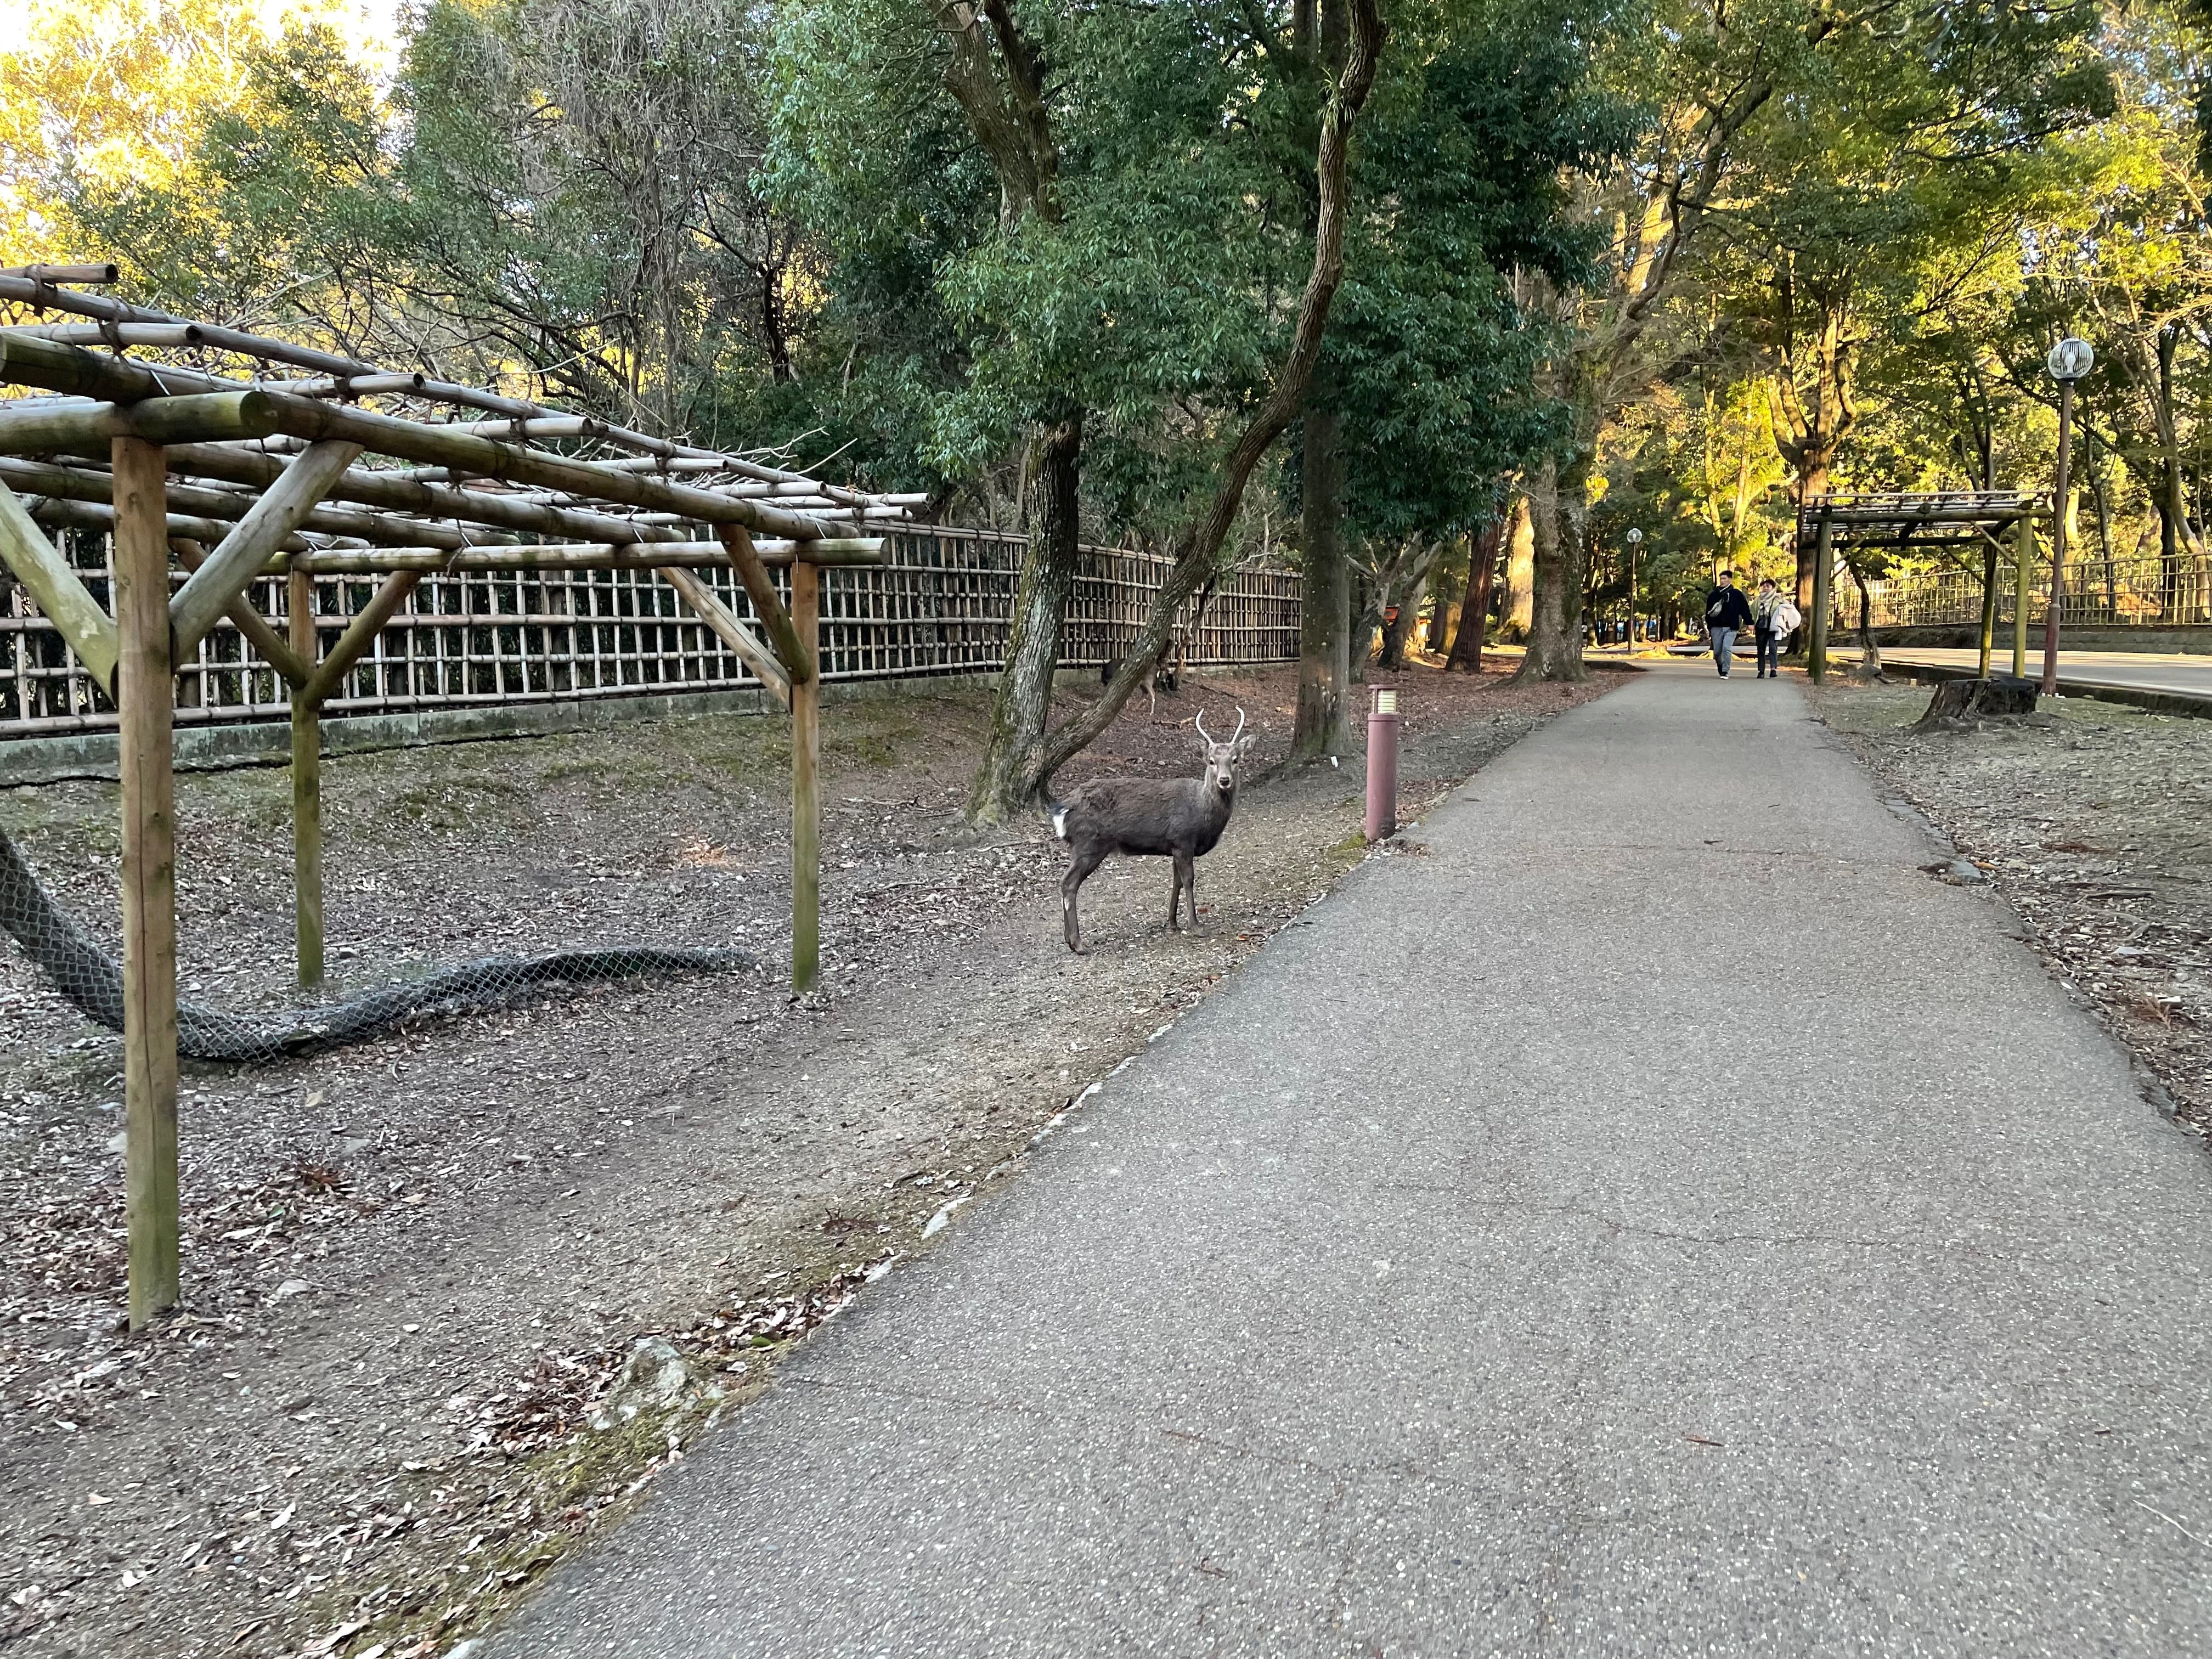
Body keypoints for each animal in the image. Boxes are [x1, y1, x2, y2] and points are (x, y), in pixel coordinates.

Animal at [1050, 709, 1254, 954]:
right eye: (1211, 761)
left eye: (1236, 760)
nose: (1224, 780)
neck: (1202, 810)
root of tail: (1061, 809)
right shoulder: (1184, 838)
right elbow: (1189, 880)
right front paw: (1196, 927)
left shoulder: (1174, 845)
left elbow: (1176, 881)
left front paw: (1173, 923)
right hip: (1089, 843)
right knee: (1069, 883)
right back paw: (1078, 943)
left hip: (1084, 846)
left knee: (1065, 883)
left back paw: (1068, 939)